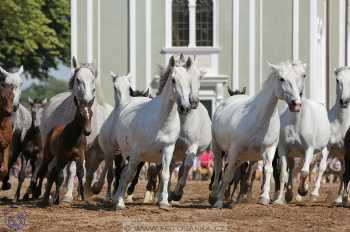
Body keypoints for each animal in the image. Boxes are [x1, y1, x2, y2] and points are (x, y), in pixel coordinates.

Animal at [40, 56, 113, 201]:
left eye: (93, 80)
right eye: (78, 80)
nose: (87, 101)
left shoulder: (93, 150)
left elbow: (91, 171)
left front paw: (88, 191)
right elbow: (72, 170)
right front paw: (68, 195)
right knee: (53, 168)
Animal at [98, 56, 191, 208]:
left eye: (189, 81)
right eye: (173, 80)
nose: (184, 107)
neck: (160, 122)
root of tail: (122, 105)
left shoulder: (167, 149)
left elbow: (165, 174)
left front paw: (164, 202)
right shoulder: (136, 151)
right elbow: (128, 174)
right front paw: (120, 203)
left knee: (121, 172)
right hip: (113, 150)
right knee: (112, 170)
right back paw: (101, 191)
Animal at [209, 60, 302, 208]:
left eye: (298, 78)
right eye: (281, 79)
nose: (296, 104)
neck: (259, 119)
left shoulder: (269, 149)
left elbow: (267, 170)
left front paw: (264, 198)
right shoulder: (234, 150)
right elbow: (228, 174)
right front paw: (219, 202)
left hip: (242, 157)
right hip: (218, 148)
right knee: (219, 169)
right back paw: (214, 195)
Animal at [274, 61, 330, 203]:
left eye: (304, 75)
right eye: (283, 78)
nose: (296, 104)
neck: (296, 122)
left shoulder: (309, 148)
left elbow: (305, 171)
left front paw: (303, 190)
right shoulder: (284, 149)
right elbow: (284, 173)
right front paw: (281, 199)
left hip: (324, 149)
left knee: (320, 168)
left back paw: (314, 193)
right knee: (296, 168)